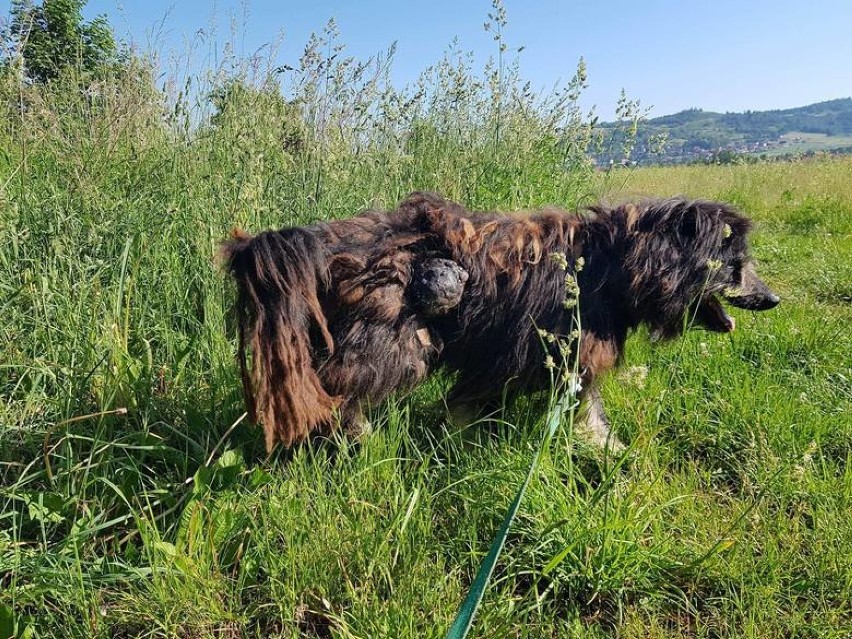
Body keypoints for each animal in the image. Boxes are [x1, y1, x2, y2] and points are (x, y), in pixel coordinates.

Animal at [221, 192, 780, 452]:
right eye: (735, 263)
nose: (773, 299)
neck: (609, 263)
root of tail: (330, 241)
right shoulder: (541, 344)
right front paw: (607, 448)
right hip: (395, 334)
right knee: (346, 388)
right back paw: (364, 440)